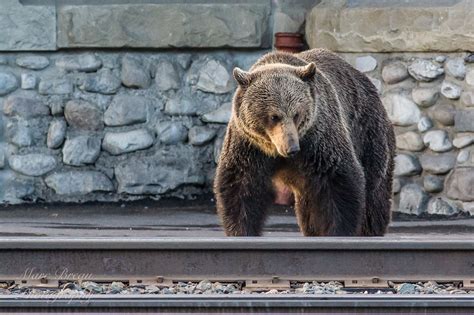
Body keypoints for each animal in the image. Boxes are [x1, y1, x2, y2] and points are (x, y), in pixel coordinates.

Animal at [213, 48, 394, 237]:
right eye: (274, 116)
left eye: (296, 114)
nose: (291, 148)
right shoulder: (249, 145)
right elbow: (241, 186)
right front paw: (242, 230)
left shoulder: (319, 140)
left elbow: (339, 182)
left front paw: (338, 230)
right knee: (308, 209)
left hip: (368, 133)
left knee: (374, 192)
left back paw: (371, 229)